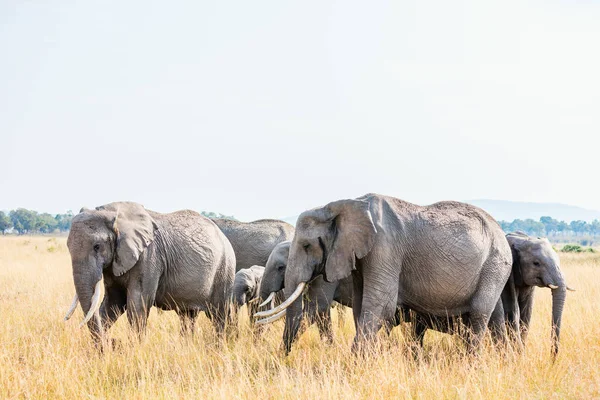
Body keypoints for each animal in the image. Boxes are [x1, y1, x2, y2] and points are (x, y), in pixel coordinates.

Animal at [63, 203, 236, 344]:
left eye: (97, 246)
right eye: (68, 247)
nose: (112, 342)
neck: (113, 214)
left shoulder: (149, 256)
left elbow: (137, 305)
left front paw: (134, 350)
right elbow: (113, 303)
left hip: (225, 268)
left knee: (218, 315)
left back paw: (221, 346)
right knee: (187, 315)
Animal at [255, 193, 512, 354]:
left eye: (307, 246)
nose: (282, 358)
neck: (342, 205)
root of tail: (501, 231)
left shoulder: (385, 247)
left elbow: (378, 305)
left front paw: (356, 365)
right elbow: (361, 306)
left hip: (495, 264)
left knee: (478, 314)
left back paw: (470, 362)